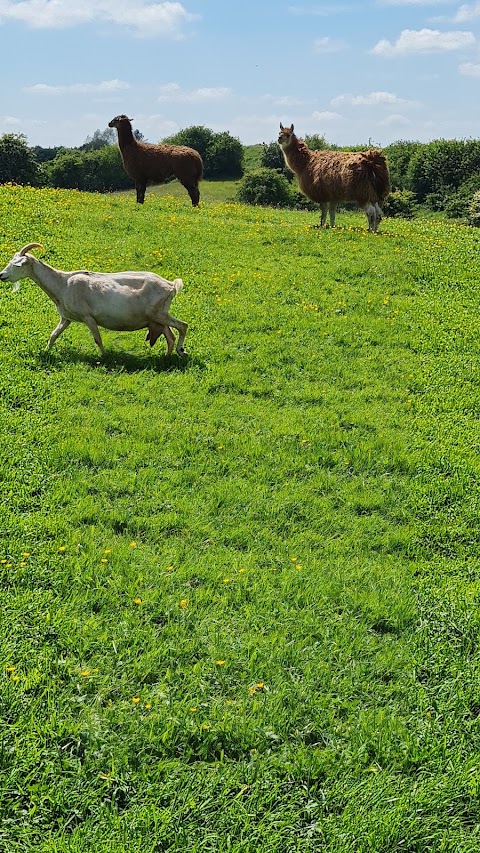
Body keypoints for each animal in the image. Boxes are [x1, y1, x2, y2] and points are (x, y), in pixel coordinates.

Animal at [0, 243, 188, 356]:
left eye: (17, 264)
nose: (2, 275)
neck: (63, 284)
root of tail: (171, 285)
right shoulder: (66, 318)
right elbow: (53, 335)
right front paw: (46, 351)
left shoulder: (88, 317)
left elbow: (97, 339)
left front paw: (104, 357)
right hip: (158, 317)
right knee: (170, 336)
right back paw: (167, 357)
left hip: (159, 314)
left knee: (183, 326)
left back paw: (180, 351)